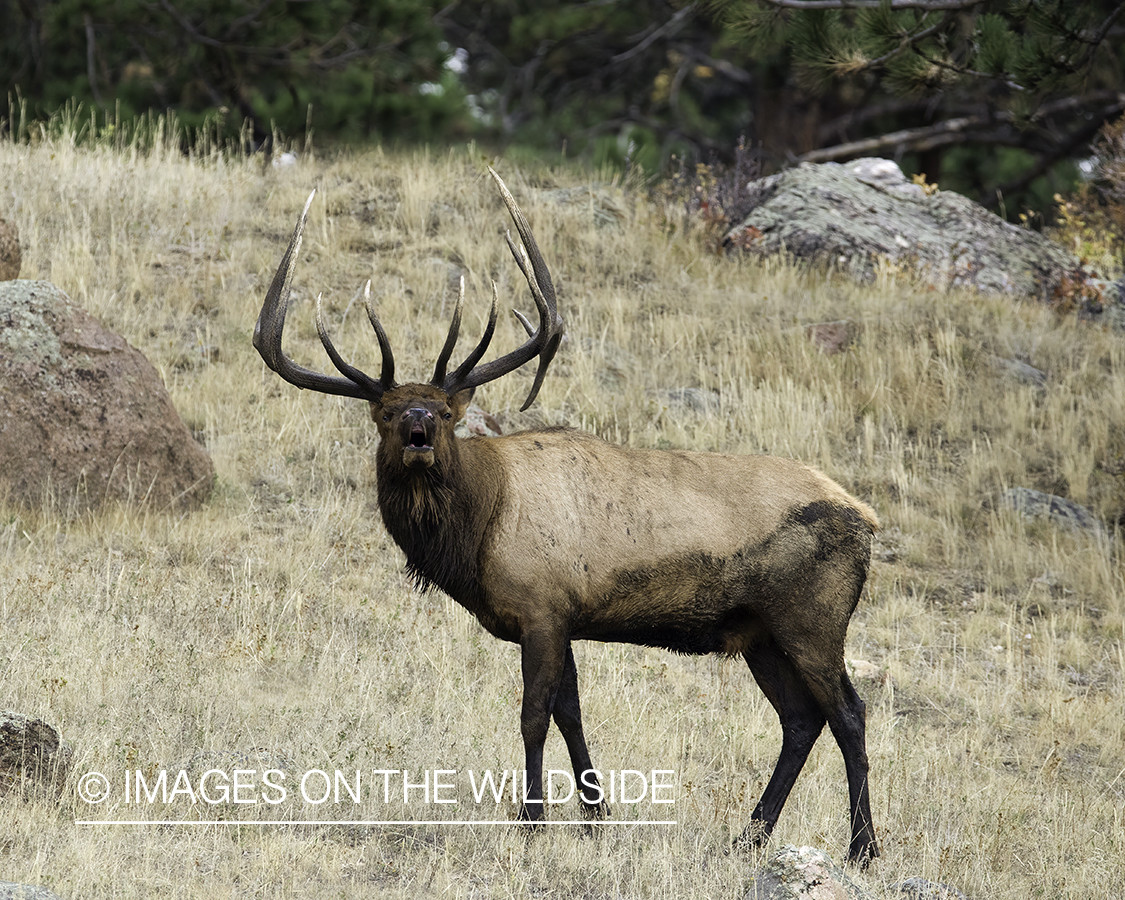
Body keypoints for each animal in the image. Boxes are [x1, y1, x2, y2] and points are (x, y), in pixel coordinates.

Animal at [253, 168, 877, 864]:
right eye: (386, 412)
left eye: (443, 411)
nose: (417, 429)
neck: (480, 531)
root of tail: (869, 522)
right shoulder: (564, 617)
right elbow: (571, 712)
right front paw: (595, 816)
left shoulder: (542, 606)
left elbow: (533, 714)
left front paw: (532, 819)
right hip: (760, 632)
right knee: (801, 720)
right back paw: (750, 834)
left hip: (813, 618)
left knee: (849, 714)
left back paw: (862, 847)